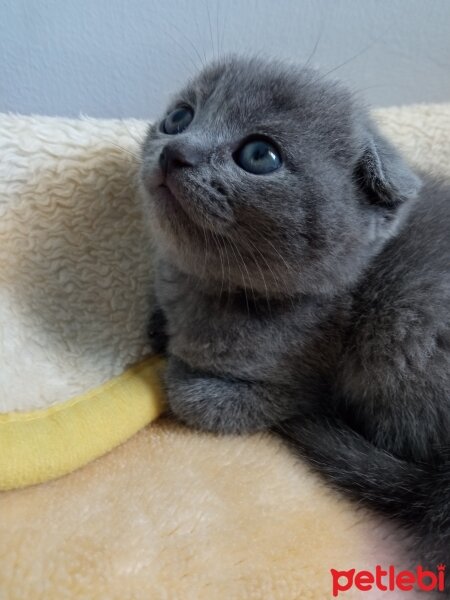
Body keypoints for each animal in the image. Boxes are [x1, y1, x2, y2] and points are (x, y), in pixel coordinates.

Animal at [139, 56, 448, 576]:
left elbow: (193, 396)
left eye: (259, 155)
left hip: (403, 324)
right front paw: (159, 328)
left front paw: (179, 371)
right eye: (179, 117)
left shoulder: (306, 383)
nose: (175, 150)